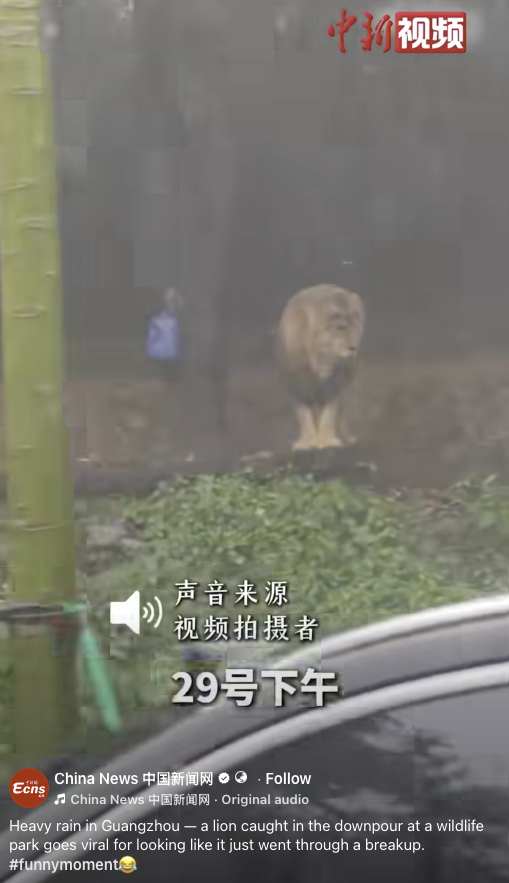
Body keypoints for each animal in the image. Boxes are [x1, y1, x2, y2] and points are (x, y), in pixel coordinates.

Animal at [276, 284, 365, 450]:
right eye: (340, 327)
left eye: (356, 325)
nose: (353, 348)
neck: (323, 363)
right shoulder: (296, 383)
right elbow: (303, 413)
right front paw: (306, 442)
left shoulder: (336, 385)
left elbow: (330, 412)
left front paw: (327, 441)